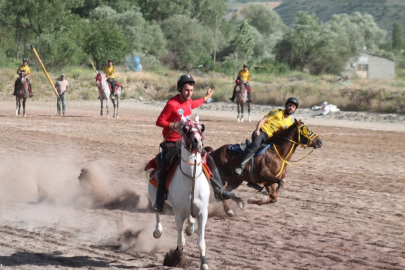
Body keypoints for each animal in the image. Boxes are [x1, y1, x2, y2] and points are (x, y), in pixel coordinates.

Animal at [147, 114, 210, 270]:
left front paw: (204, 263)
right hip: (153, 196)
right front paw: (175, 258)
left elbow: (201, 242)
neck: (191, 179)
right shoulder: (178, 213)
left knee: (190, 219)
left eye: (201, 127)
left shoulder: (203, 212)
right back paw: (158, 231)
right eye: (185, 128)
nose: (197, 141)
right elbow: (181, 241)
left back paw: (190, 226)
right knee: (157, 212)